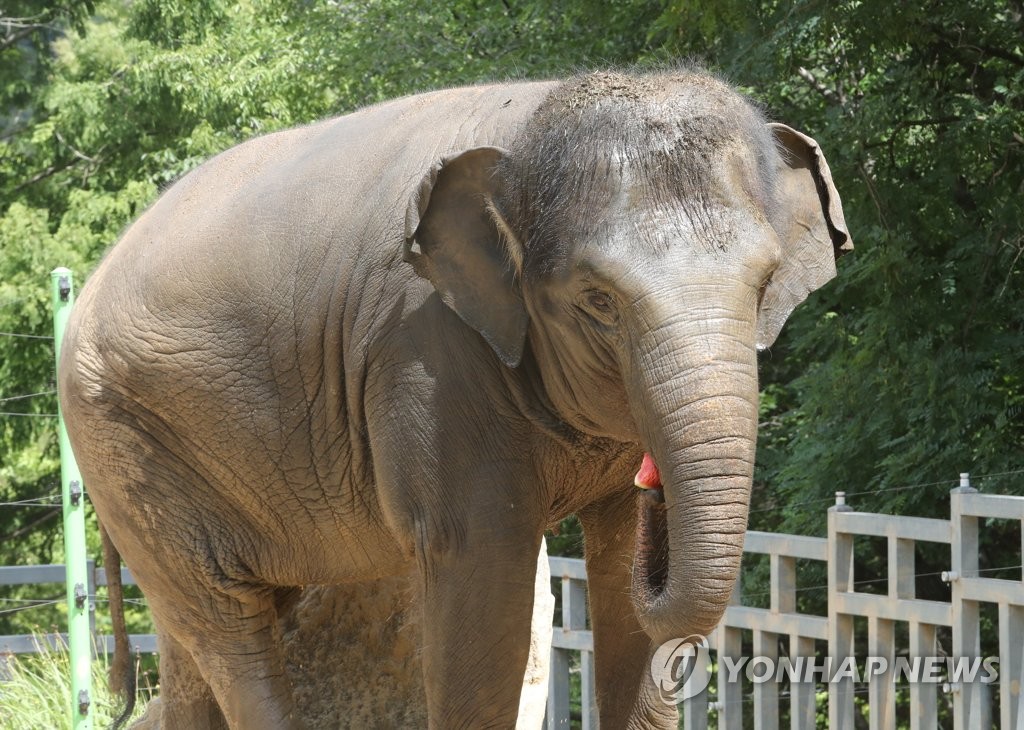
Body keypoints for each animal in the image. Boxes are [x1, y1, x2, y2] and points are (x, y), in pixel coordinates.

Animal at [59, 68, 851, 728]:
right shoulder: (428, 353)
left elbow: (621, 570)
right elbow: (482, 569)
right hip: (124, 448)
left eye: (765, 283)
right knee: (229, 625)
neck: (534, 119)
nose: (654, 477)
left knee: (200, 642)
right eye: (597, 300)